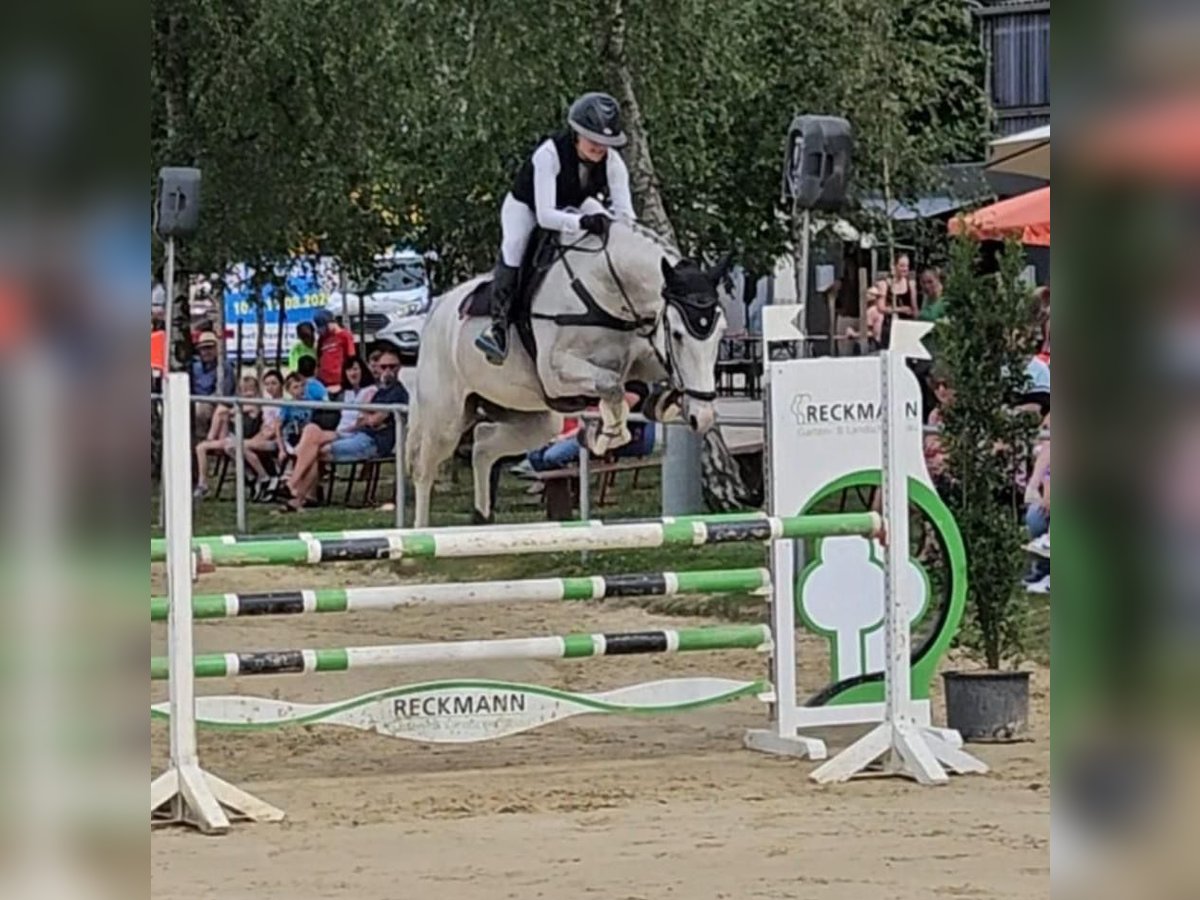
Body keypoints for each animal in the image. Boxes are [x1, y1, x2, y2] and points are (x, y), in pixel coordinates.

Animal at [408, 211, 724, 528]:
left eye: (721, 332)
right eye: (678, 334)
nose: (703, 418)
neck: (604, 288)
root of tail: (437, 308)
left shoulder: (640, 357)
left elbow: (646, 378)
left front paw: (664, 404)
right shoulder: (556, 374)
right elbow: (611, 384)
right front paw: (602, 436)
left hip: (534, 418)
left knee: (483, 446)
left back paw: (483, 518)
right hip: (445, 418)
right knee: (425, 469)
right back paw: (421, 533)